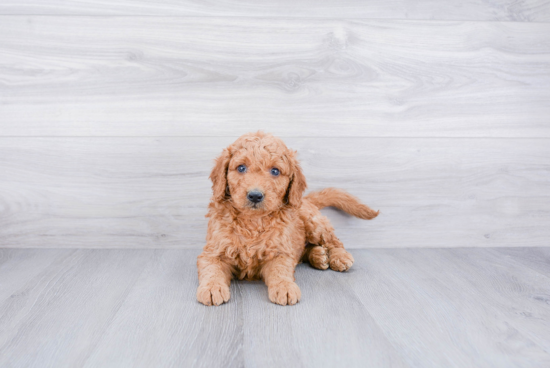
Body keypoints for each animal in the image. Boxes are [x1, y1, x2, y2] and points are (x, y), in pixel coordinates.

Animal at [197, 131, 380, 306]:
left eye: (275, 171)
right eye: (241, 168)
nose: (255, 195)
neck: (253, 222)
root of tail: (305, 199)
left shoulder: (280, 251)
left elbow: (280, 269)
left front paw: (284, 287)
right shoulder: (213, 251)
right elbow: (211, 269)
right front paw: (212, 288)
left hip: (314, 223)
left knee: (334, 241)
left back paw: (338, 257)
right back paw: (318, 256)